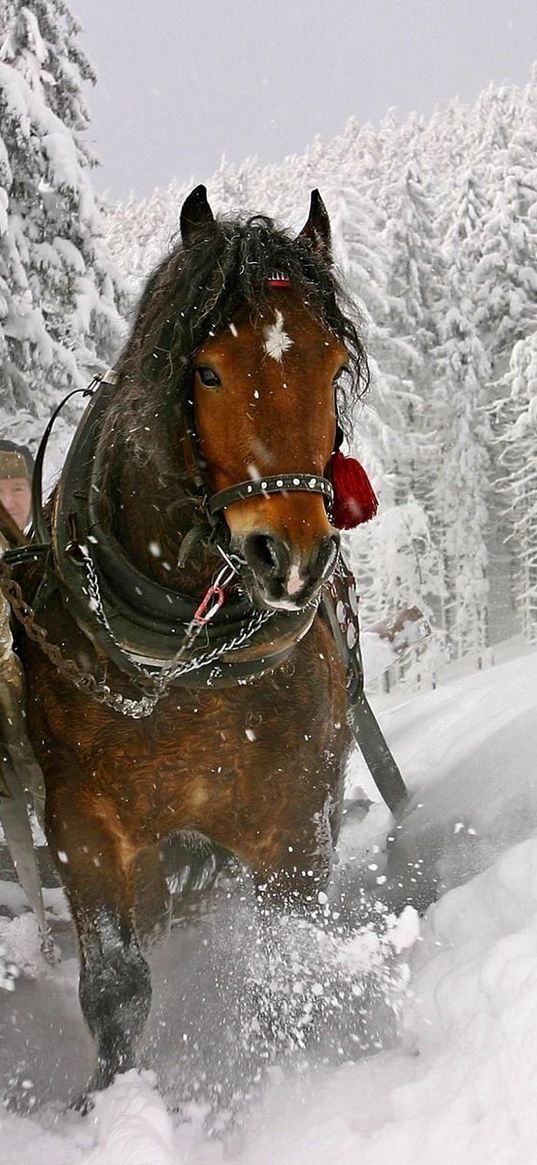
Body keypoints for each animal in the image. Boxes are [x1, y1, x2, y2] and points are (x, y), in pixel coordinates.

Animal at [11, 186, 389, 1095]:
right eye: (208, 370)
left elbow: (287, 957)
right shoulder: (81, 821)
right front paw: (107, 1101)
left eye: (331, 367)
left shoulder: (293, 817)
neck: (185, 664)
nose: (291, 556)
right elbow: (116, 985)